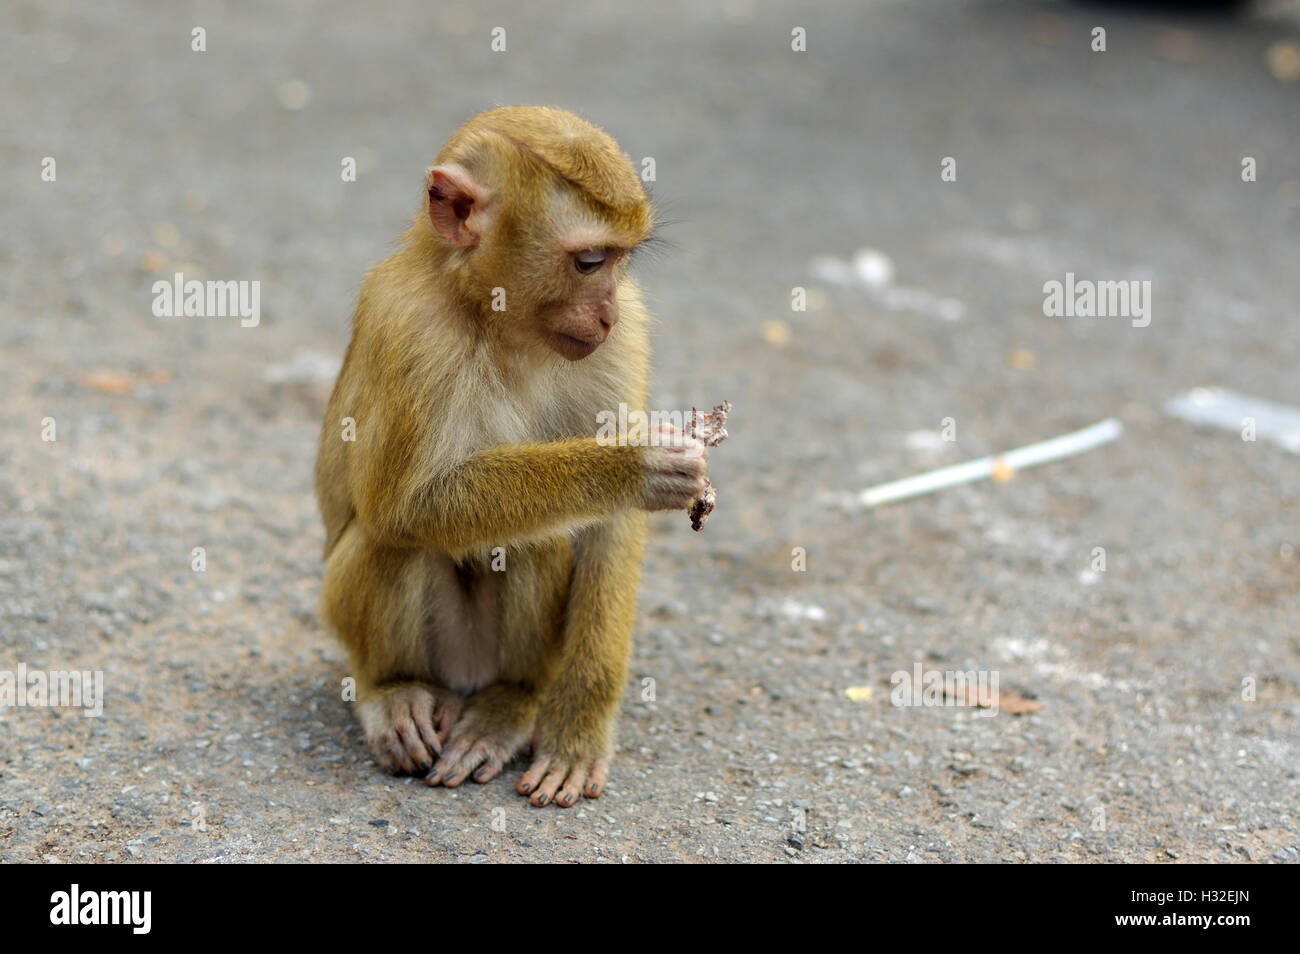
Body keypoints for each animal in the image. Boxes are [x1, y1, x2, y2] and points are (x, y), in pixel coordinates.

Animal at [315, 106, 708, 808]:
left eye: (620, 263)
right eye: (589, 261)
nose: (606, 313)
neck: (500, 322)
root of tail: (465, 680)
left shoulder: (625, 339)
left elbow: (609, 530)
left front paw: (578, 728)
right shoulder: (410, 330)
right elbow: (407, 504)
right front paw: (629, 465)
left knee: (536, 542)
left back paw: (511, 703)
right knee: (394, 539)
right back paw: (393, 690)